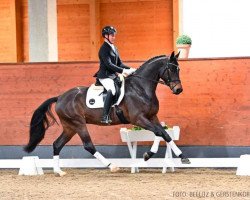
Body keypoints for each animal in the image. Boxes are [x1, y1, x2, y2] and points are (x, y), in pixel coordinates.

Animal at [24, 50, 190, 176]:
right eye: (171, 69)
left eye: (179, 69)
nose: (178, 90)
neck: (140, 88)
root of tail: (60, 97)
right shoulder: (138, 119)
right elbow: (159, 132)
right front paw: (148, 155)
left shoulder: (152, 117)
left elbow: (164, 133)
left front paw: (182, 157)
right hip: (78, 123)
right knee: (88, 145)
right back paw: (112, 166)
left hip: (69, 126)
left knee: (57, 144)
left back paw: (58, 171)